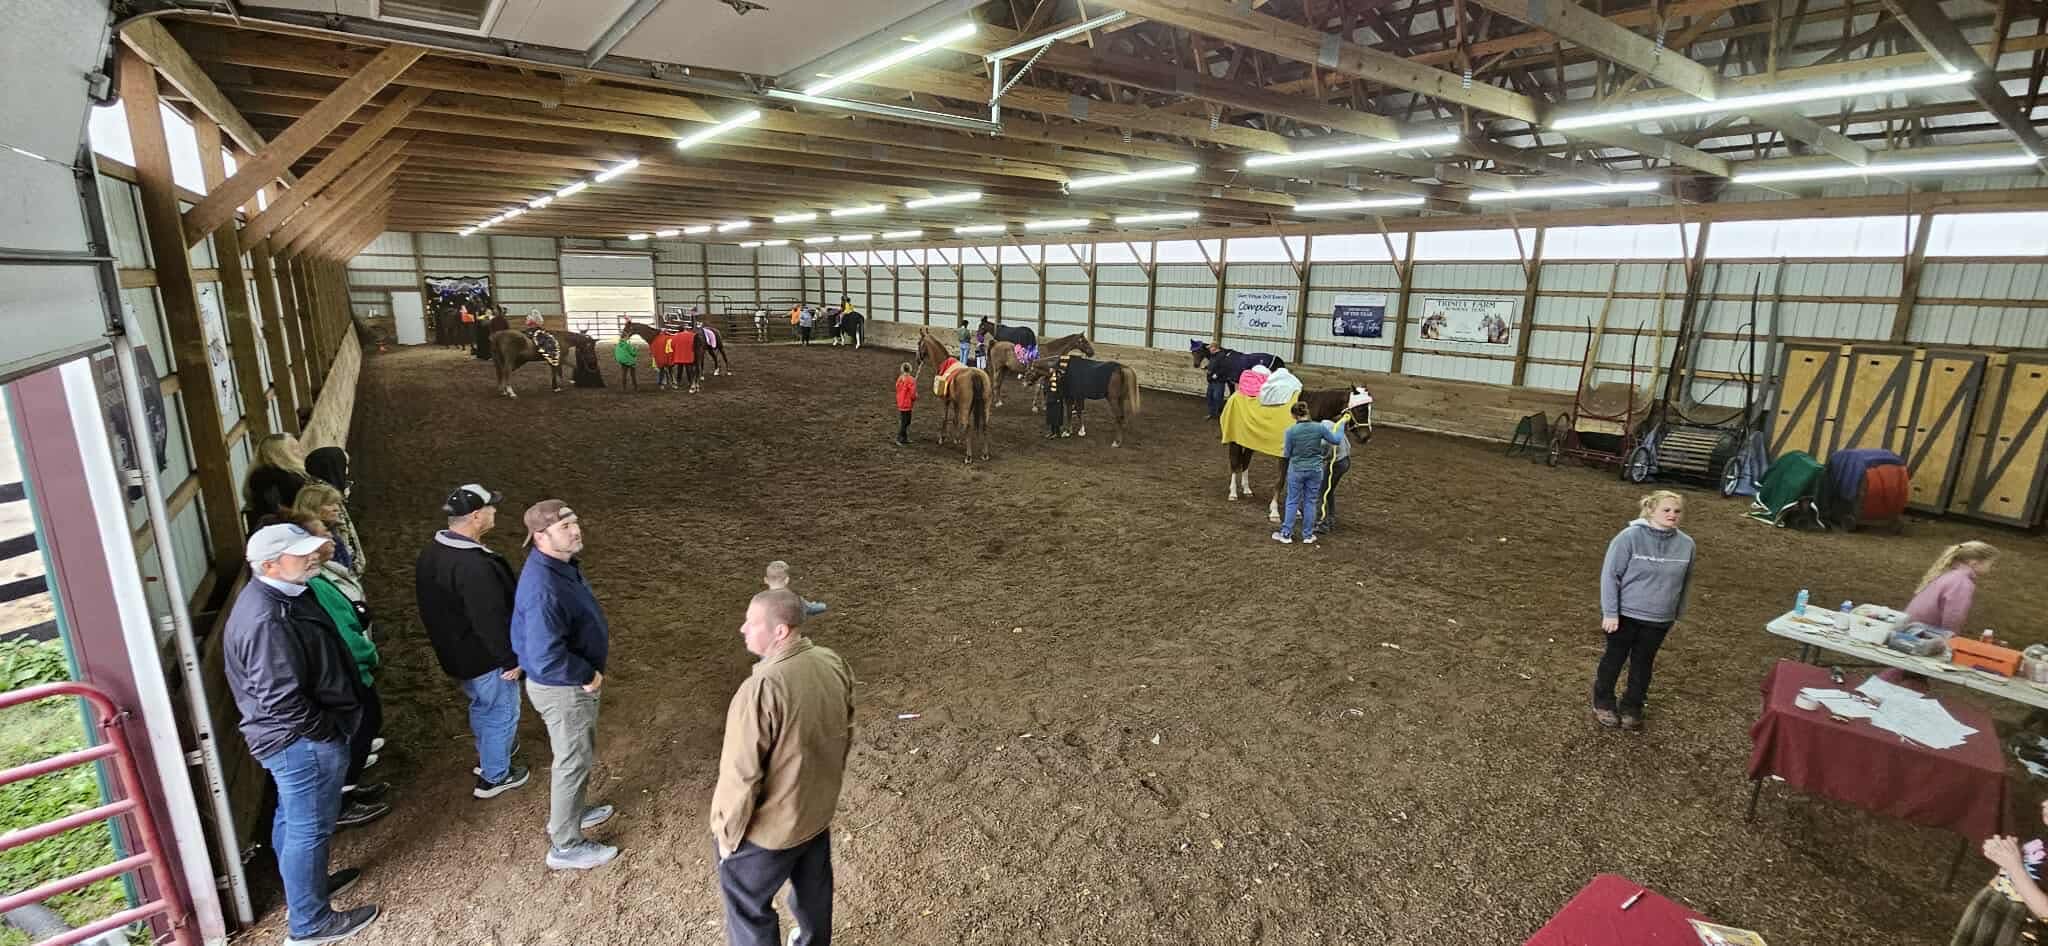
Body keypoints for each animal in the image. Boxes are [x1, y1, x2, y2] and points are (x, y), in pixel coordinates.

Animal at [911, 328, 991, 462]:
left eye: (918, 343)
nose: (917, 359)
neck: (944, 363)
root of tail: (975, 375)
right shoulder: (956, 402)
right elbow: (955, 419)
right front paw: (956, 439)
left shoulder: (946, 400)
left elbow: (945, 417)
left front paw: (941, 438)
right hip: (985, 406)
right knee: (984, 425)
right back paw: (985, 454)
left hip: (966, 406)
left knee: (968, 425)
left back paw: (968, 456)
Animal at [1223, 387, 1374, 520]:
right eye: (1360, 409)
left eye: (1369, 409)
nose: (1366, 437)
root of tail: (1234, 394)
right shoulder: (1284, 456)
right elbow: (1280, 482)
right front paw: (1274, 512)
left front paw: (1296, 512)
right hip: (1235, 441)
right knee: (1235, 464)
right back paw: (1233, 493)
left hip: (1250, 442)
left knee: (1245, 462)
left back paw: (1247, 490)